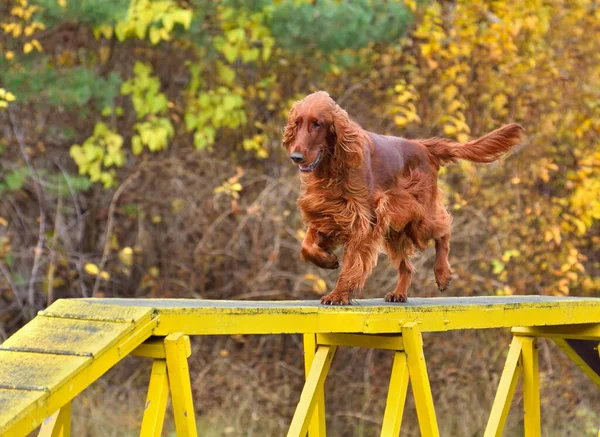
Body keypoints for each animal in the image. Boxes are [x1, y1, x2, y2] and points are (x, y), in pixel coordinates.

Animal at [284, 91, 524, 304]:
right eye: (297, 122)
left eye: (317, 124)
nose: (296, 156)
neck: (332, 168)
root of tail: (423, 146)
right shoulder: (324, 211)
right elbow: (306, 247)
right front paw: (327, 260)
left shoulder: (363, 220)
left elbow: (352, 263)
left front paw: (338, 294)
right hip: (395, 229)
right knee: (407, 267)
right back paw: (399, 293)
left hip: (419, 217)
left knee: (444, 231)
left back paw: (442, 273)